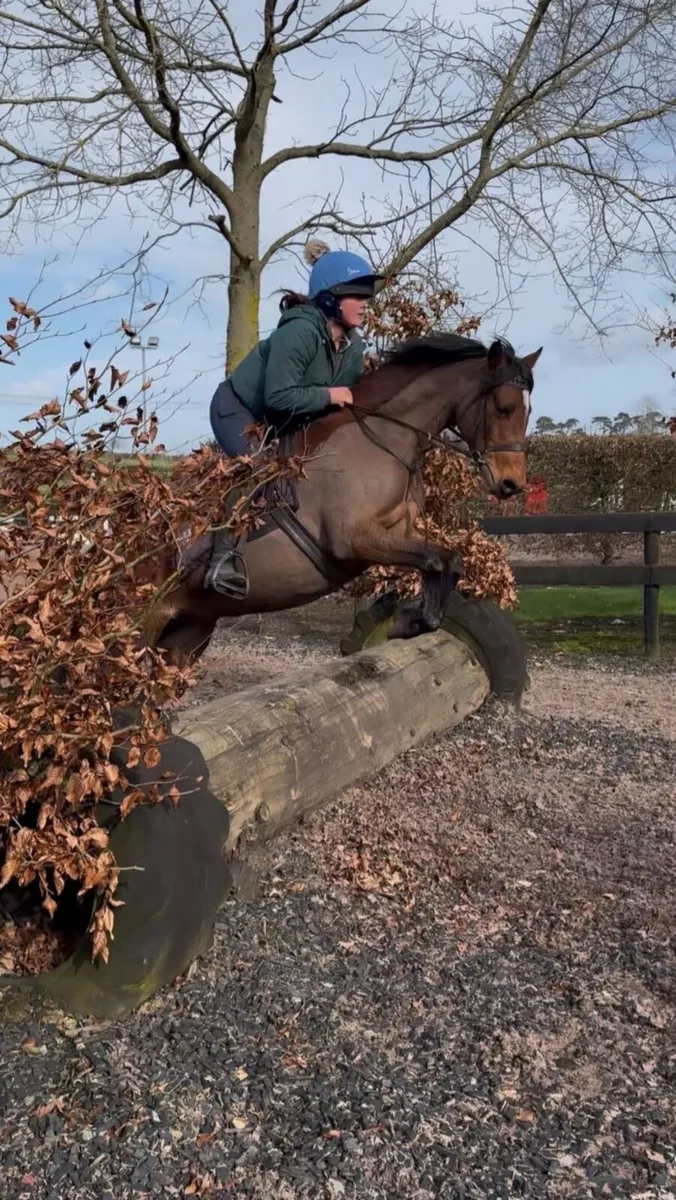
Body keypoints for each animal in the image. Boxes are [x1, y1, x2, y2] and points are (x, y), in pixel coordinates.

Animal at [147, 332, 541, 667]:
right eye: (503, 408)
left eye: (528, 412)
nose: (511, 484)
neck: (384, 439)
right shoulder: (353, 541)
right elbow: (435, 559)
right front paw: (408, 619)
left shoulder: (403, 532)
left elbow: (448, 560)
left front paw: (414, 618)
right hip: (148, 620)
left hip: (188, 630)